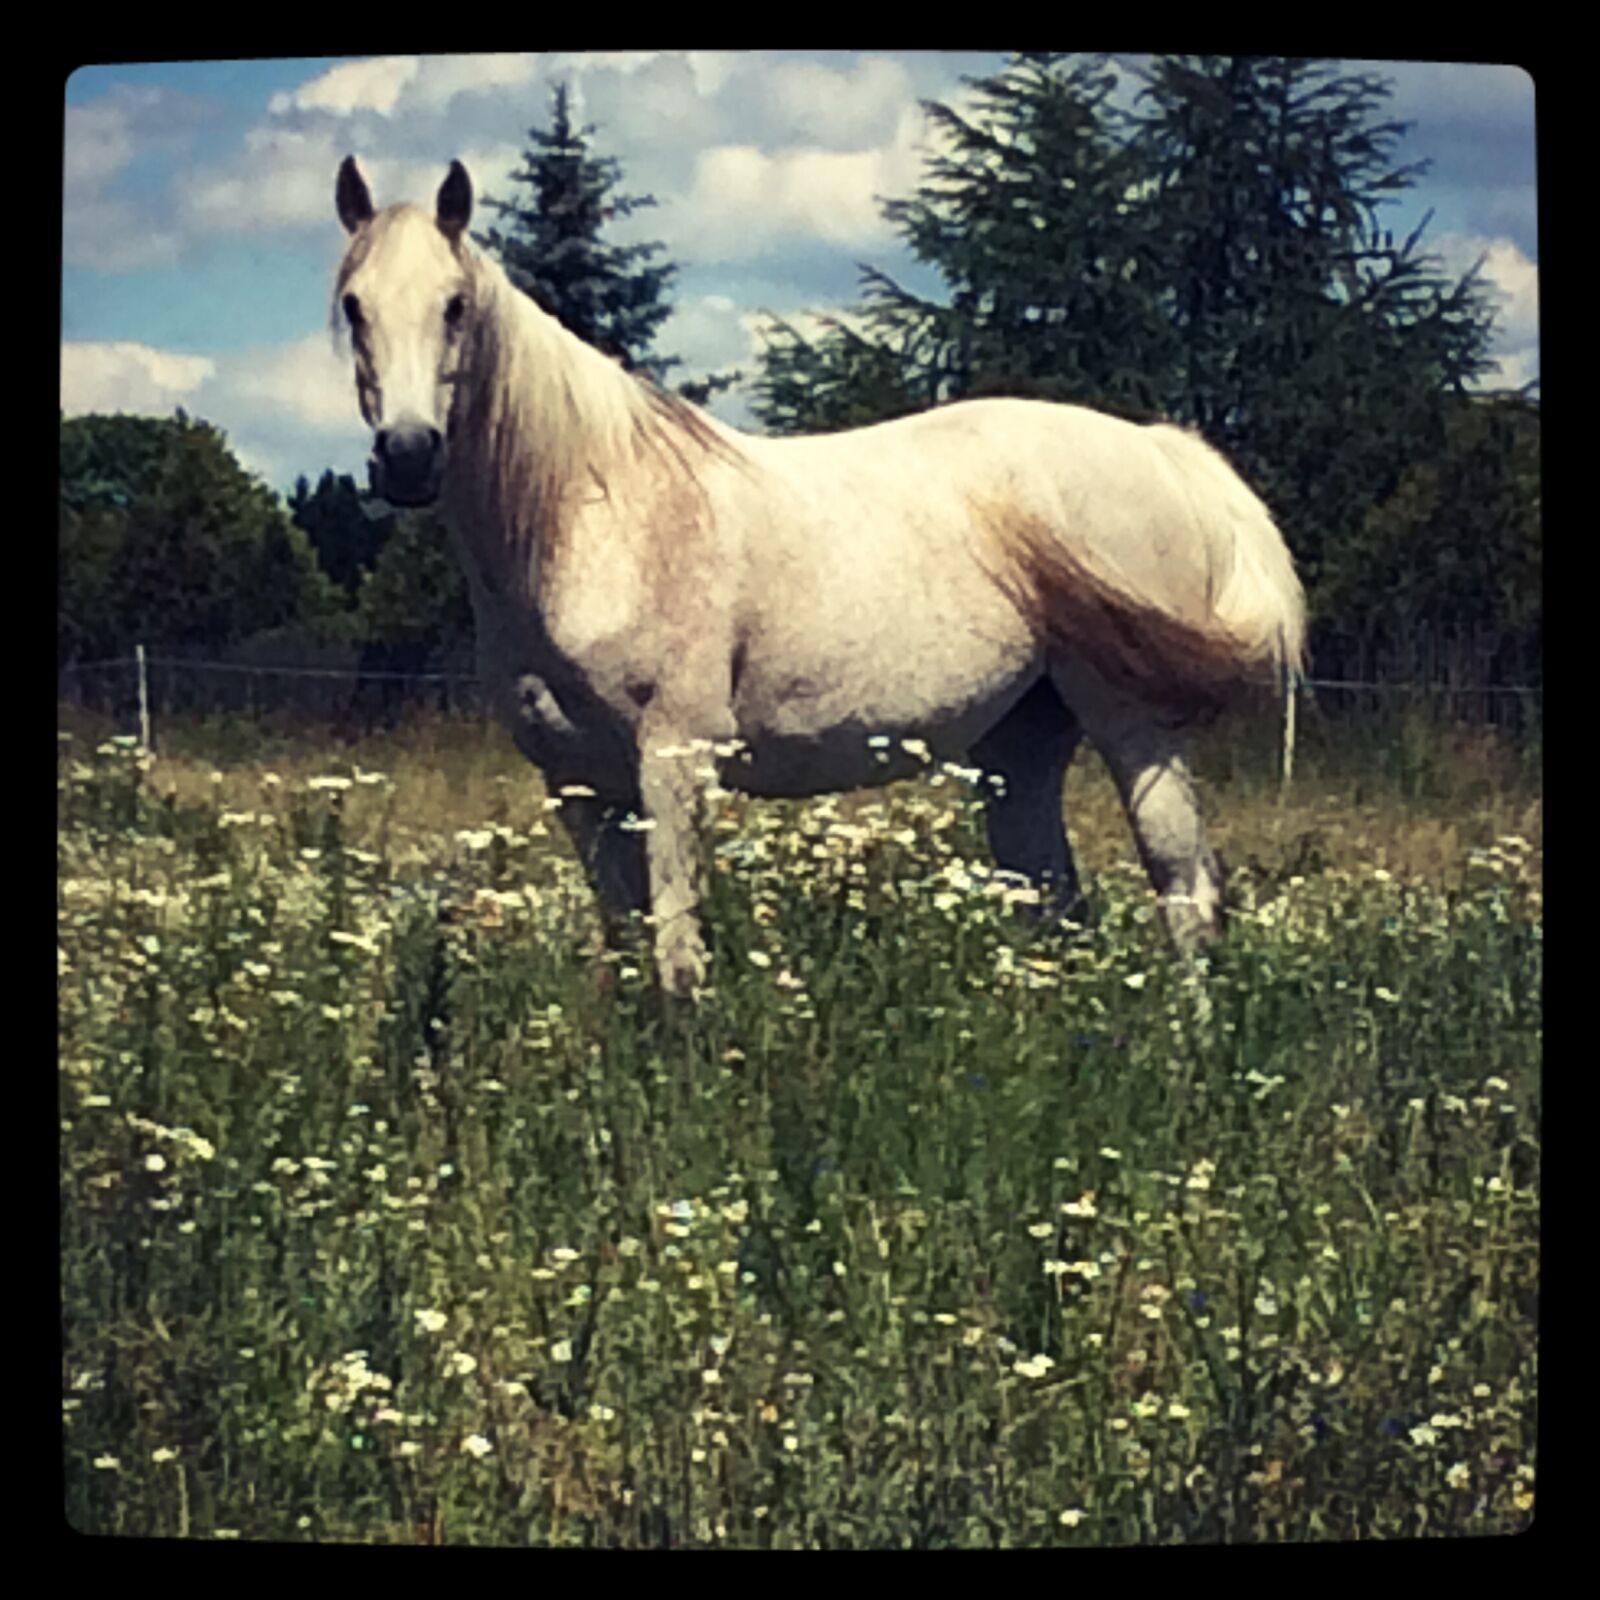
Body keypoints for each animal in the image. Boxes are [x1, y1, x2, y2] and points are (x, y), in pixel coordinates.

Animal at [333, 157, 1306, 996]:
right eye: (352, 307)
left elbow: (678, 955)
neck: (592, 520)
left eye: (456, 306)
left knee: (1185, 895)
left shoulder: (674, 764)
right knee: (1054, 907)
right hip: (1019, 749)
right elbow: (624, 952)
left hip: (1133, 728)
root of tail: (1158, 447)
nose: (409, 457)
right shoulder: (577, 787)